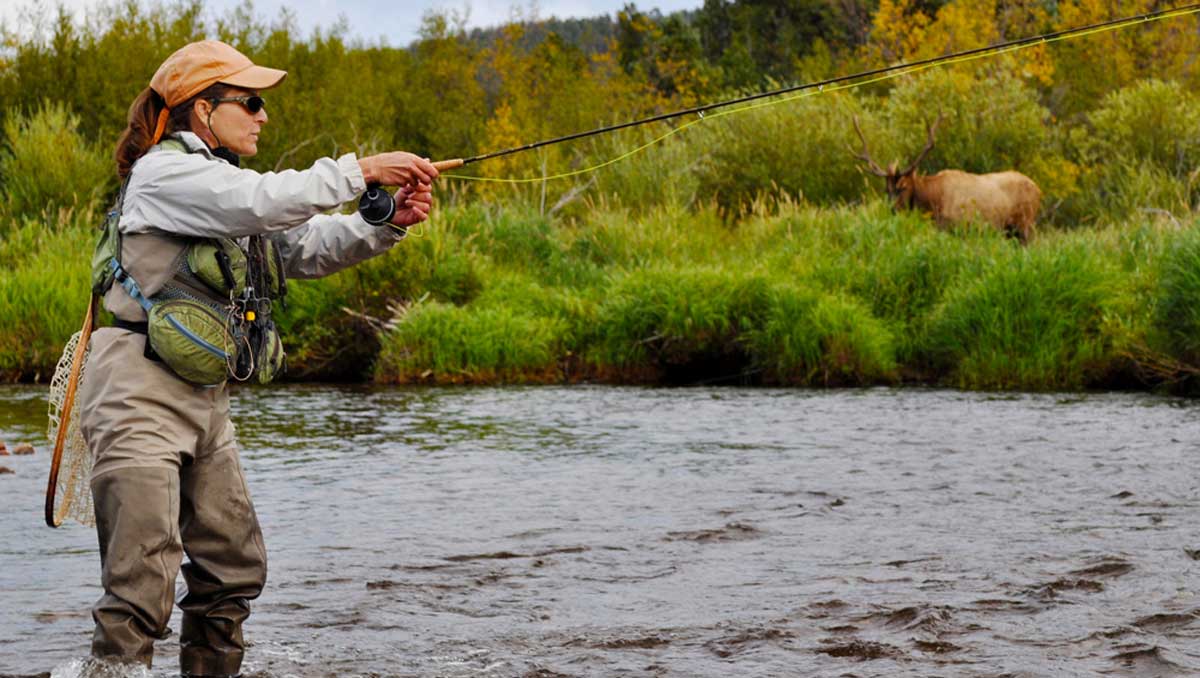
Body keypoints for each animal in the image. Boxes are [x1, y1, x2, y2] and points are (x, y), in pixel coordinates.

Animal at [852, 114, 1042, 243]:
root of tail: (1039, 190)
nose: (892, 209)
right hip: (1011, 231)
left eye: (903, 187)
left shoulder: (962, 227)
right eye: (887, 190)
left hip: (1025, 225)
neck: (933, 203)